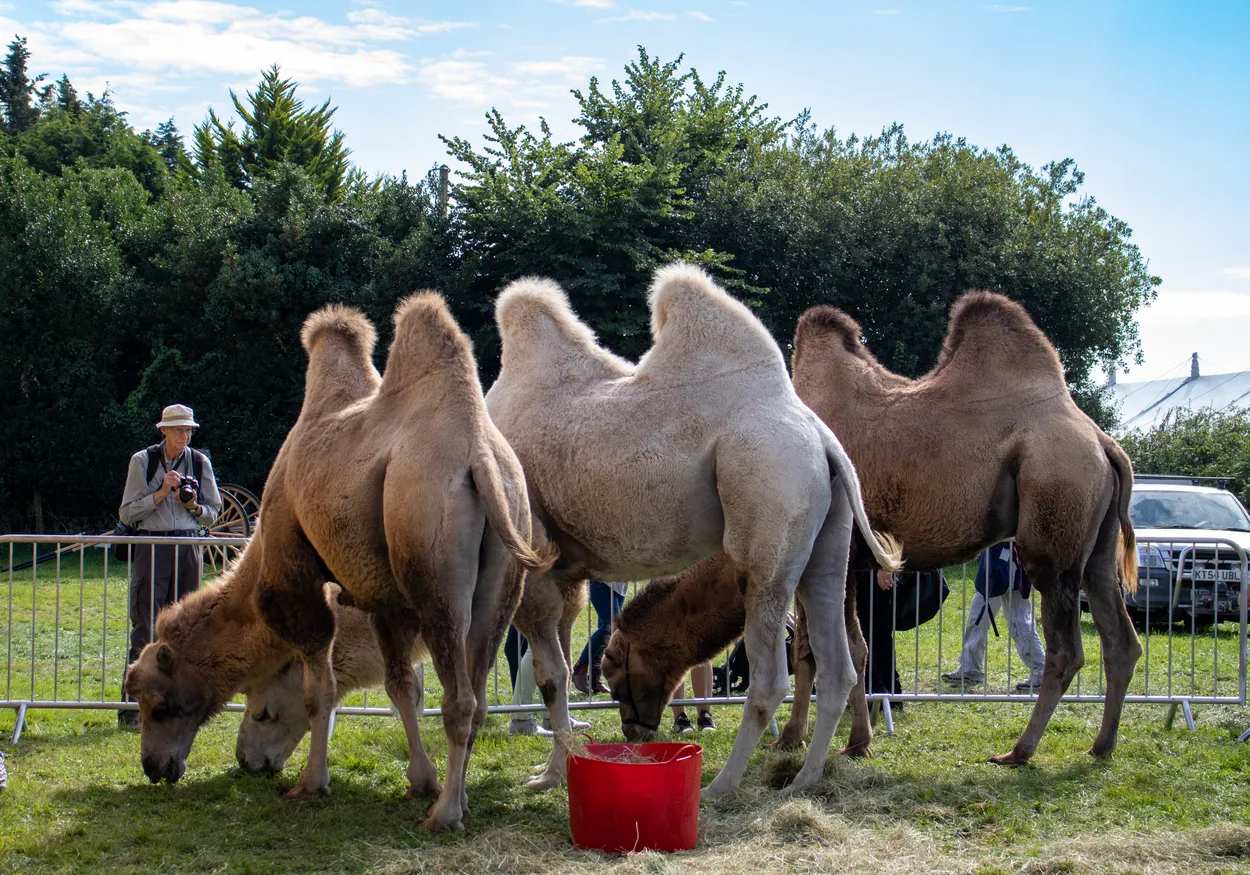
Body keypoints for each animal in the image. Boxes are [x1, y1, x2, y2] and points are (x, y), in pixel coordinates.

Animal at [127, 294, 555, 832]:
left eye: (158, 705)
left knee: (458, 697)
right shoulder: (387, 601)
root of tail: (478, 457)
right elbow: (398, 687)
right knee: (477, 693)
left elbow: (320, 692)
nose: (153, 766)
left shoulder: (295, 575)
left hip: (432, 567)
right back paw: (455, 799)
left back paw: (446, 815)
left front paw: (312, 784)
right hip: (503, 568)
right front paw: (422, 781)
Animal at [485, 263, 901, 797]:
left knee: (771, 676)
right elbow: (555, 663)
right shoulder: (565, 572)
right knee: (837, 666)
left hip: (767, 506)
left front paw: (550, 775)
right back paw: (804, 780)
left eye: (615, 672)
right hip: (827, 546)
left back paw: (720, 785)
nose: (634, 731)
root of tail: (822, 439)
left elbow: (551, 676)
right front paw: (558, 766)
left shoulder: (533, 565)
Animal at [607, 291, 1141, 766]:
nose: (632, 730)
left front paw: (837, 742)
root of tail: (1102, 442)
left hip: (1053, 526)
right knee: (1121, 641)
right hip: (1096, 549)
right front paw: (811, 738)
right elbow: (826, 651)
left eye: (613, 666)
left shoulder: (835, 561)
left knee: (1067, 651)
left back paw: (1018, 752)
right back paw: (1101, 746)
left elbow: (837, 651)